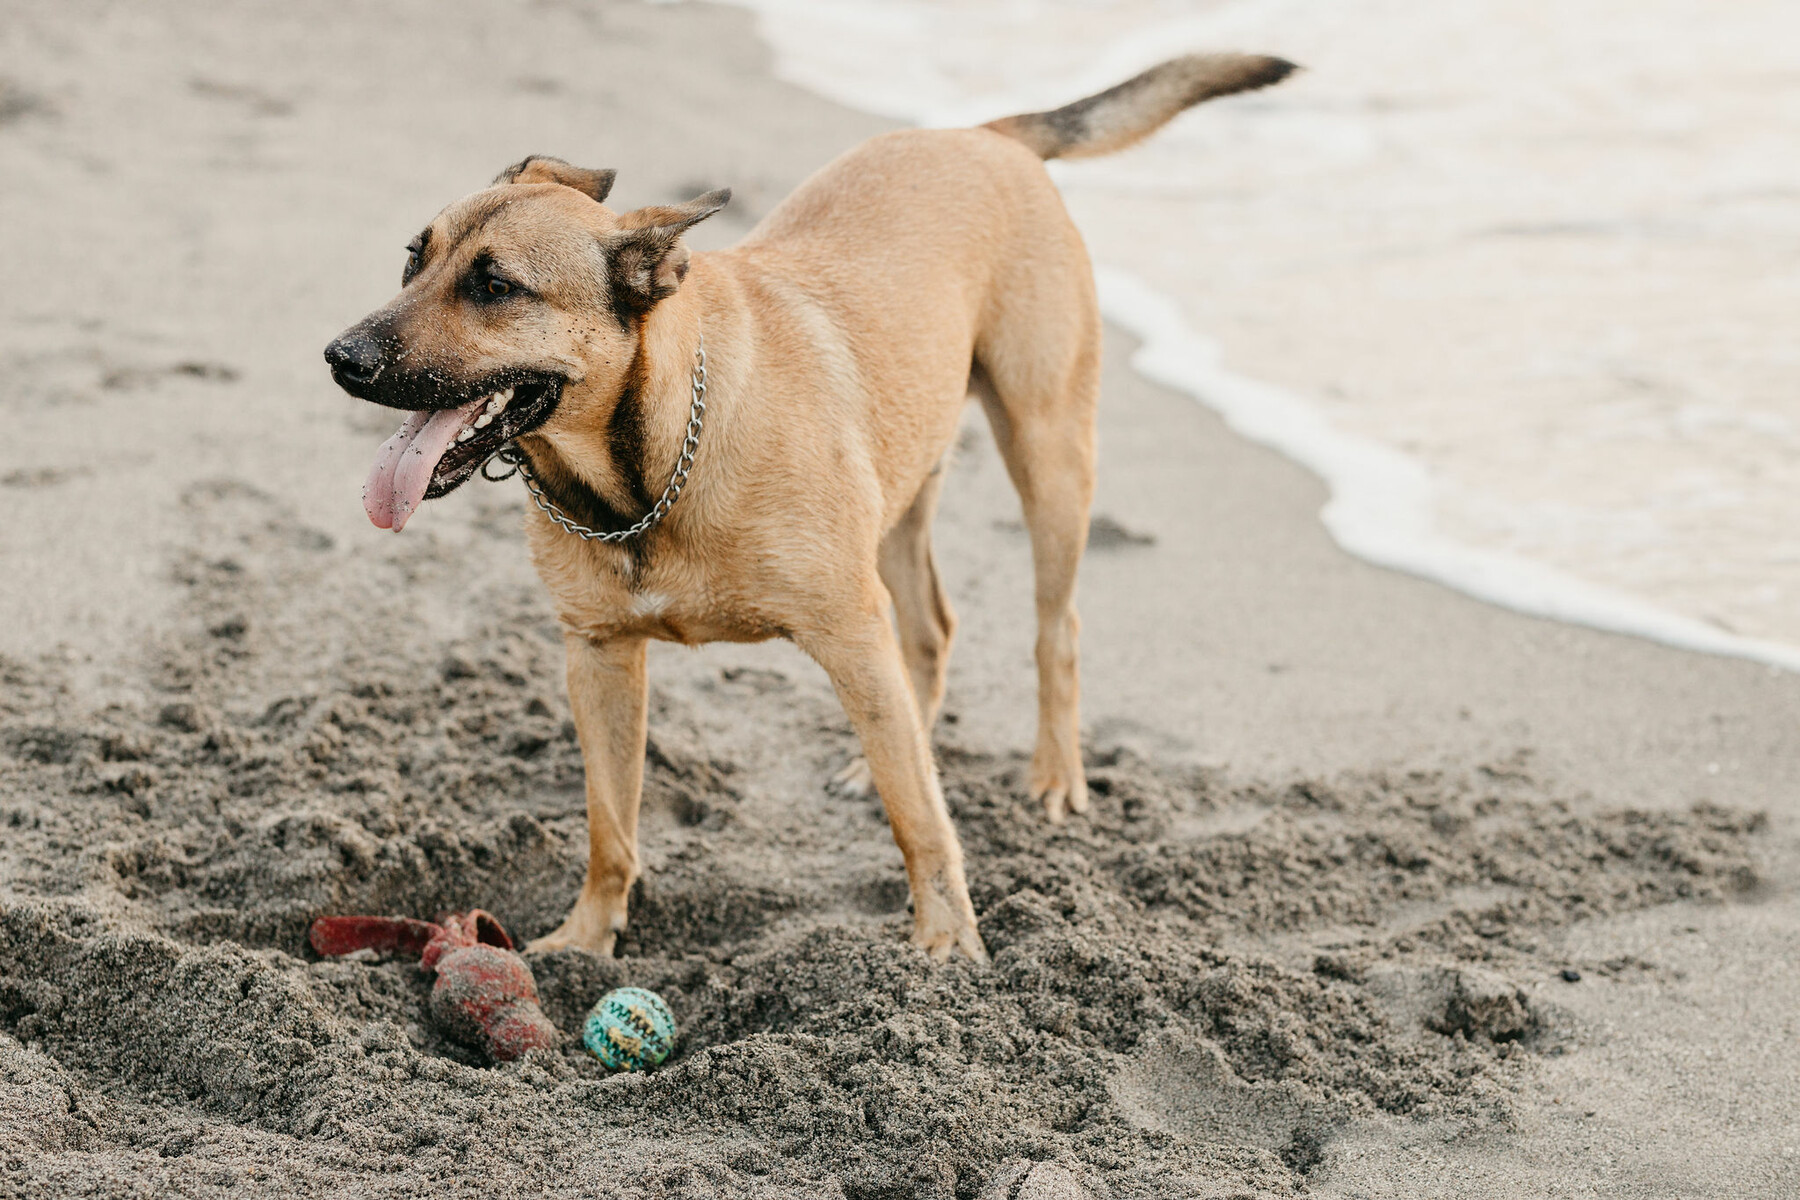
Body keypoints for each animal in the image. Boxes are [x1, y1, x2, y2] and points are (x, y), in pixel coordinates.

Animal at [327, 53, 1296, 964]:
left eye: (495, 288)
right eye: (414, 258)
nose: (342, 357)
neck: (642, 474)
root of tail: (985, 134)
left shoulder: (847, 629)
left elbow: (921, 817)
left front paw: (949, 944)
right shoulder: (597, 657)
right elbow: (611, 824)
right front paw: (587, 939)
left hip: (1048, 452)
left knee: (1053, 631)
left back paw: (1054, 775)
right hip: (902, 491)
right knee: (929, 635)